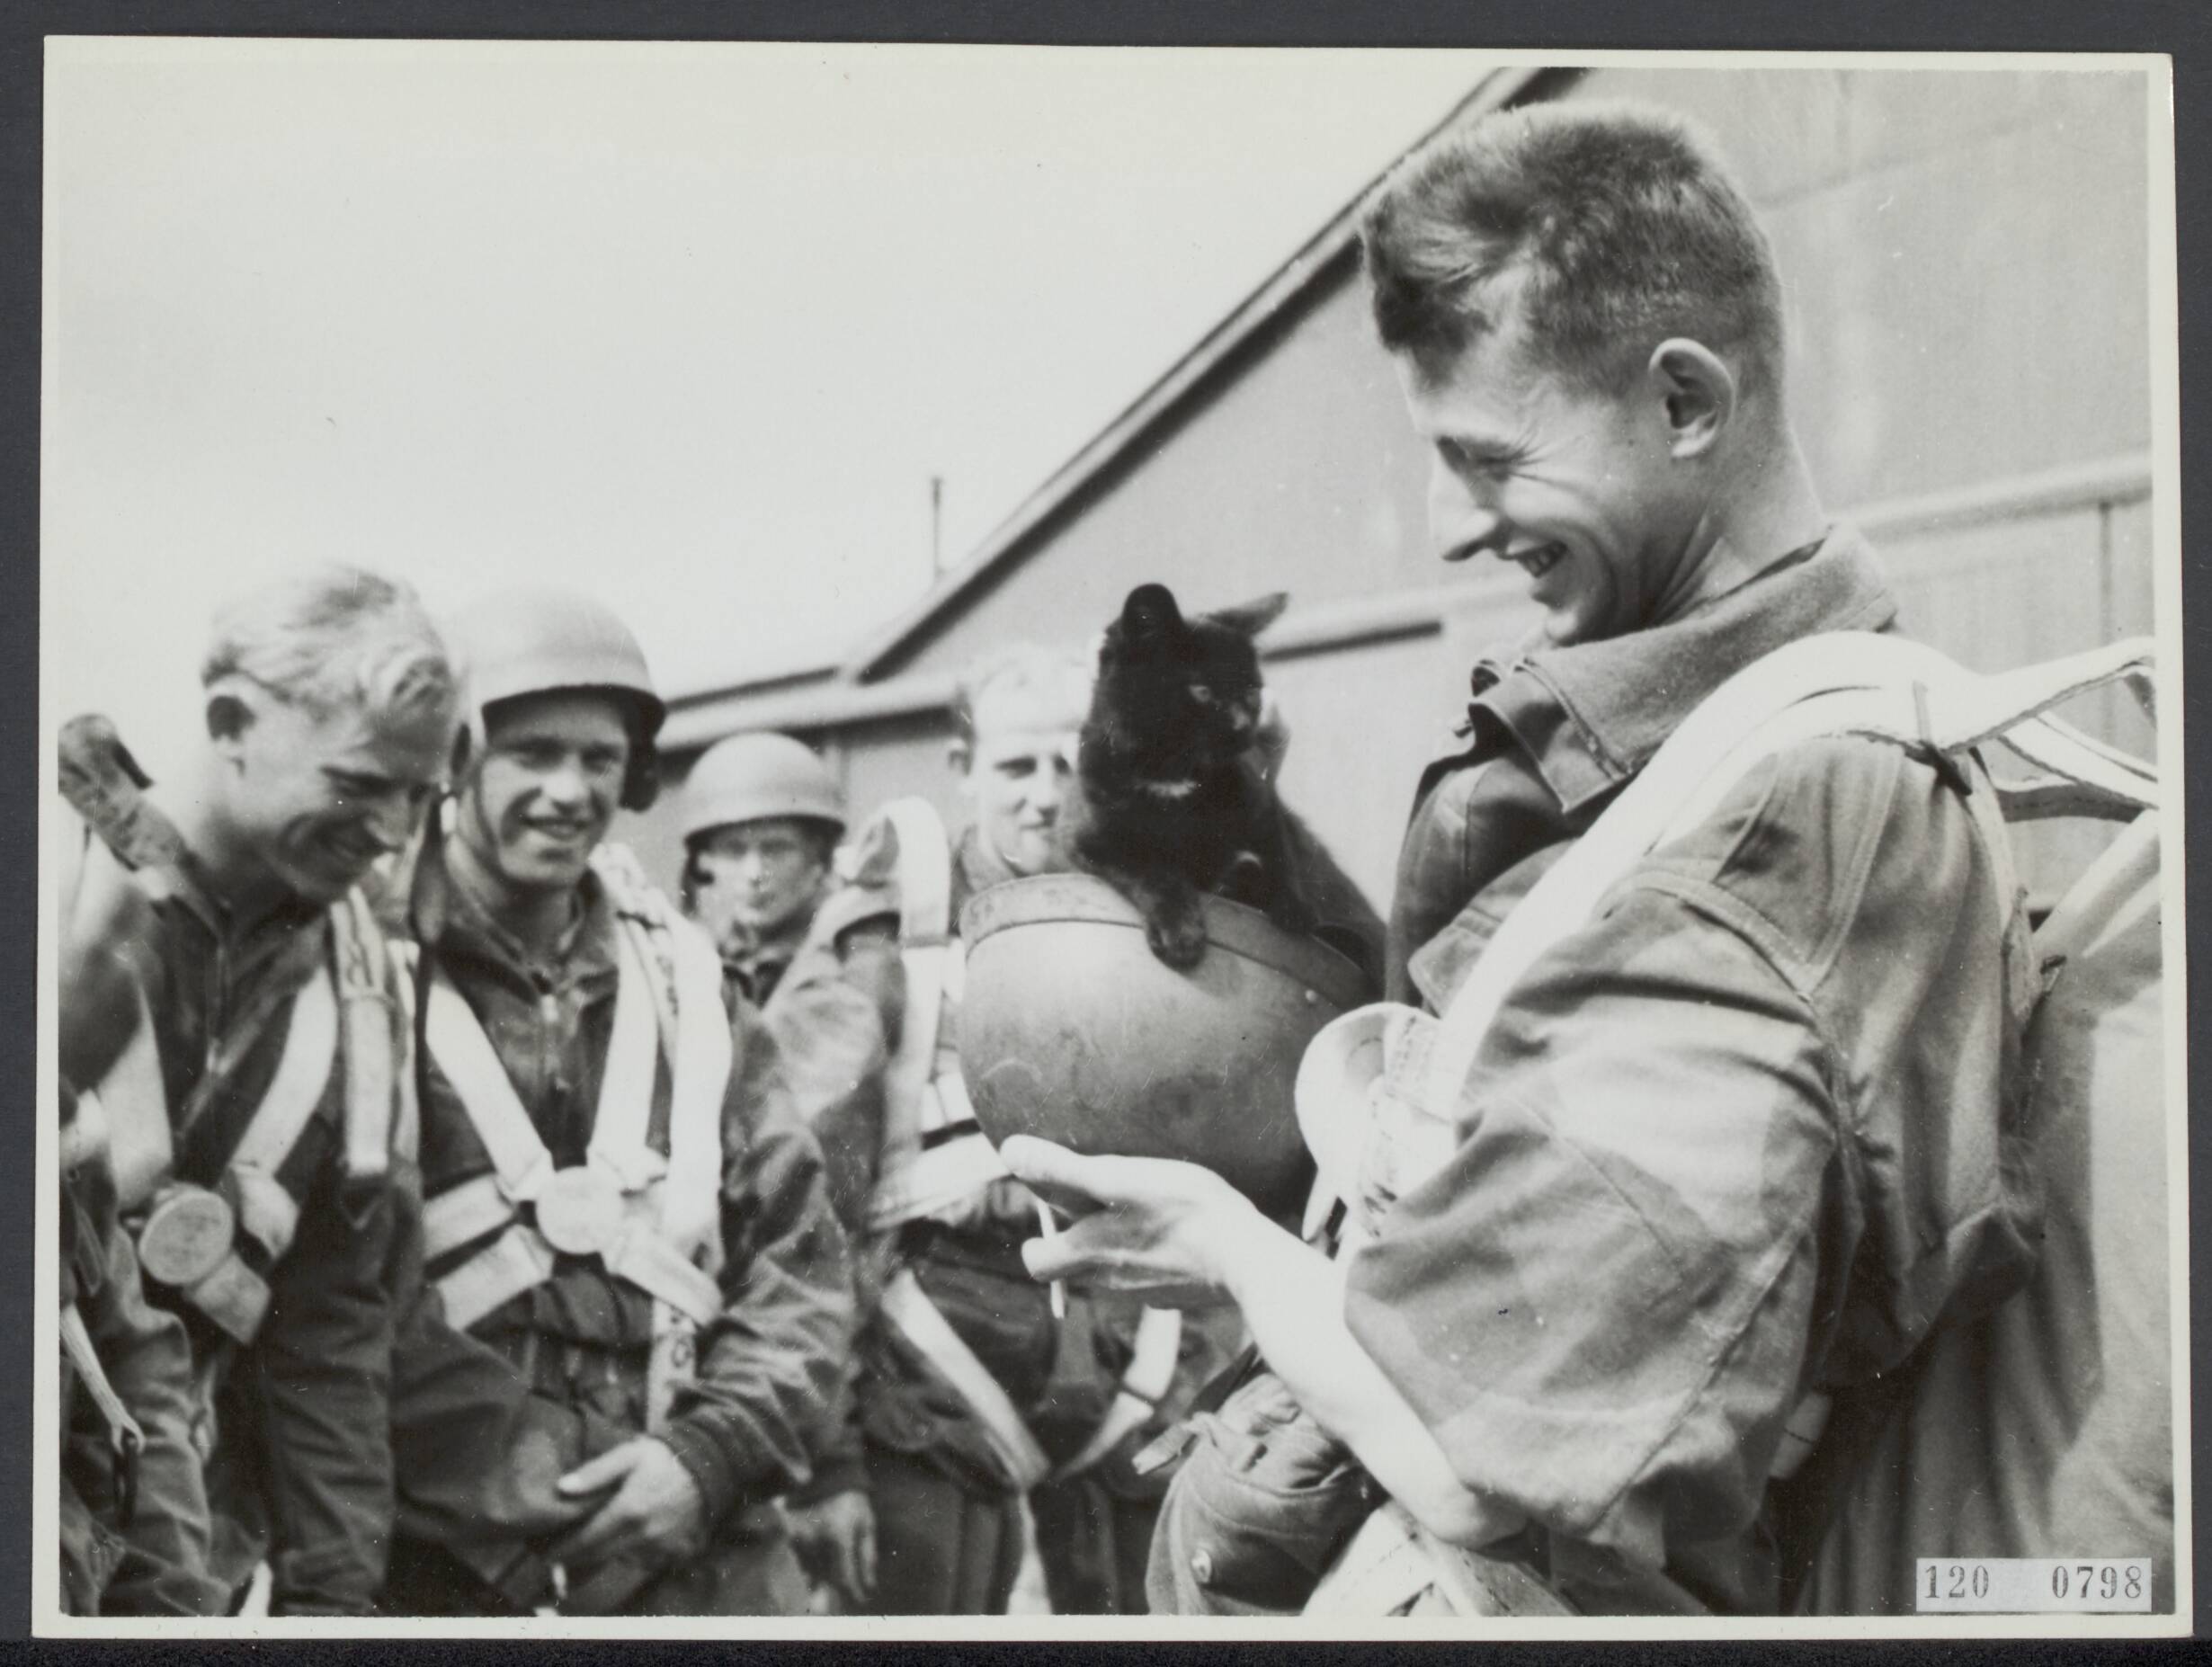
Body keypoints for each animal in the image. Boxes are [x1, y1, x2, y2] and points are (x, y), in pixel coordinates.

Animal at [1067, 582, 1383, 985]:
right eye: (1202, 691)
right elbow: (1154, 872)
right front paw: (1179, 931)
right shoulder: (1093, 840)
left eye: (1252, 693)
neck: (1174, 773)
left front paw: (1292, 906)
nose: (1242, 727)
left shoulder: (1262, 799)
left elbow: (1280, 849)